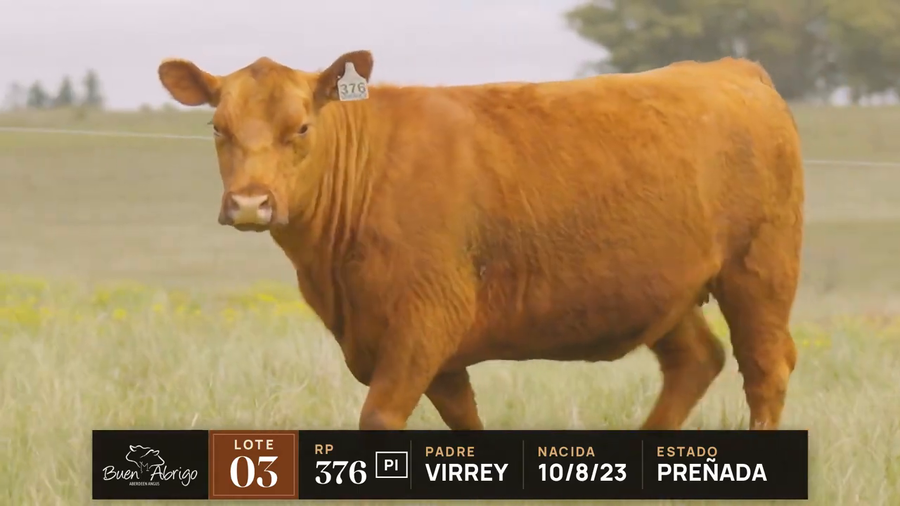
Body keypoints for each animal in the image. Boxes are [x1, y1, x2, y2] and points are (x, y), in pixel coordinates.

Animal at [157, 51, 803, 431]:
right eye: (218, 127)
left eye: (302, 127)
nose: (250, 202)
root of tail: (731, 68)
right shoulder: (431, 352)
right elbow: (464, 420)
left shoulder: (424, 323)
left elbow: (381, 418)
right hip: (661, 291)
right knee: (697, 360)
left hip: (759, 273)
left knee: (765, 369)